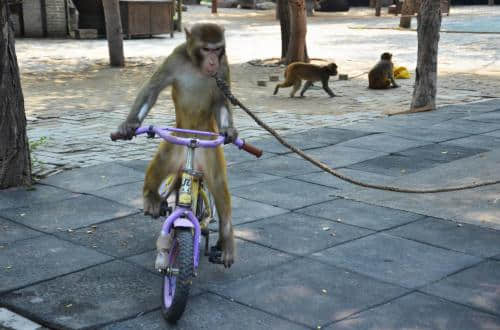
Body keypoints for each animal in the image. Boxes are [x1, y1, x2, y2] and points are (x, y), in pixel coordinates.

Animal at [117, 23, 236, 266]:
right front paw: (129, 124)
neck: (197, 66)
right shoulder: (175, 57)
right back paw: (150, 196)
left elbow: (222, 99)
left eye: (218, 49)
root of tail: (192, 141)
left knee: (218, 182)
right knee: (163, 160)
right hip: (176, 142)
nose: (213, 61)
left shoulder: (224, 66)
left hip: (209, 148)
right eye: (206, 49)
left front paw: (229, 131)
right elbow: (152, 89)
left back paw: (227, 240)